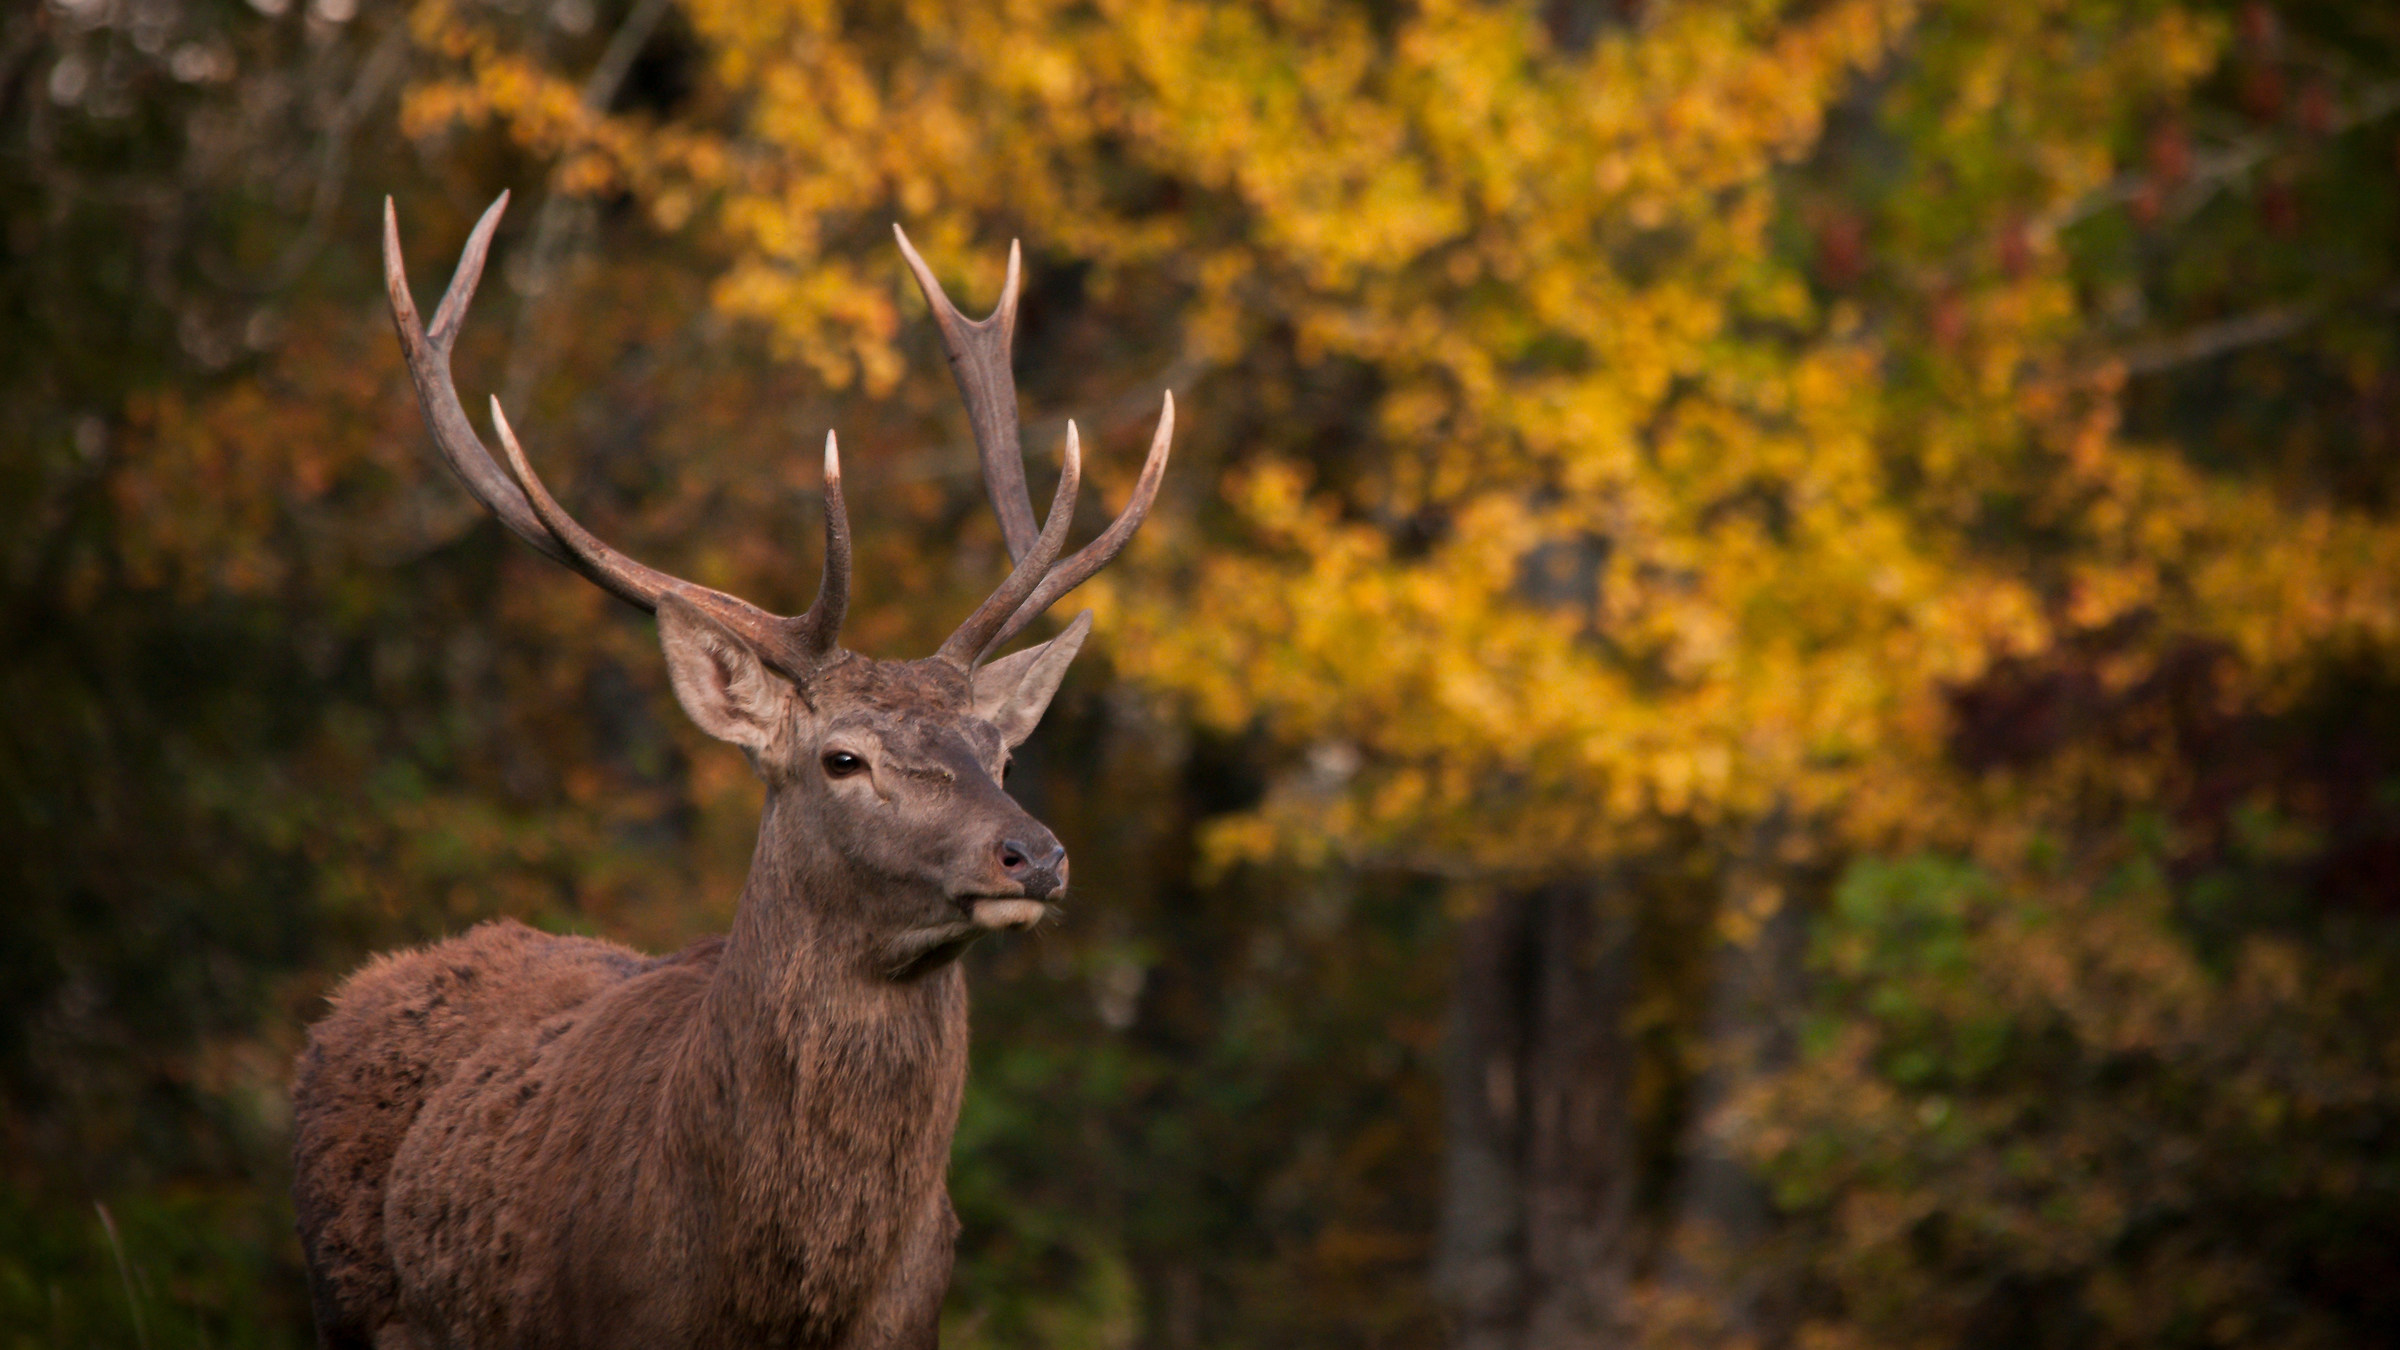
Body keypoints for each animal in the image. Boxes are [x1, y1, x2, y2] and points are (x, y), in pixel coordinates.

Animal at [289, 192, 1173, 1350]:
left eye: (1001, 750)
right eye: (843, 757)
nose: (1035, 854)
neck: (766, 1292)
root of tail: (349, 998)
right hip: (340, 1304)